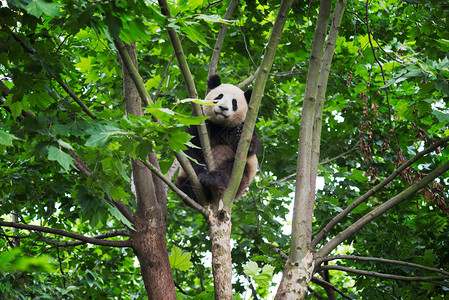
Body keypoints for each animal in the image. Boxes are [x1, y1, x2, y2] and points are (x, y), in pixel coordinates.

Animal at [175, 74, 260, 203]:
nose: (223, 108)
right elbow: (190, 147)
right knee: (182, 184)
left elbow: (250, 149)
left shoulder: (246, 125)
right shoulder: (200, 122)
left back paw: (212, 180)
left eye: (234, 103)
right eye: (219, 97)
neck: (220, 124)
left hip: (242, 175)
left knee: (231, 171)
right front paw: (202, 169)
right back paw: (191, 188)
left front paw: (238, 134)